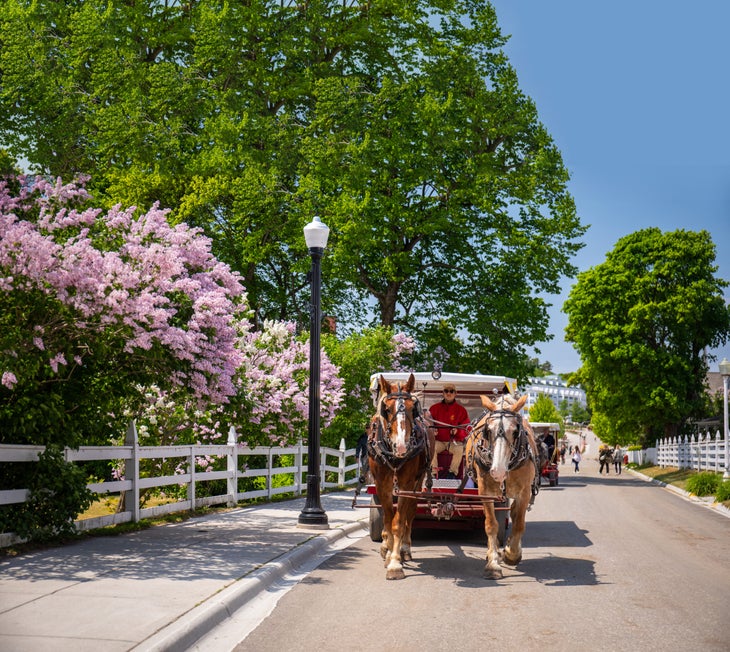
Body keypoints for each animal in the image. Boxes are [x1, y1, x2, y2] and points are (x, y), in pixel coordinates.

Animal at [366, 372, 430, 580]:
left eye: (412, 409)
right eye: (386, 409)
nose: (402, 446)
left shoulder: (406, 484)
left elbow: (399, 521)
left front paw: (395, 563)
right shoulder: (381, 484)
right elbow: (388, 518)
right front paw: (388, 551)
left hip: (418, 482)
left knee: (410, 512)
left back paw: (404, 548)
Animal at [464, 392, 536, 580]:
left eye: (516, 431)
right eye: (488, 431)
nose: (498, 471)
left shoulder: (524, 492)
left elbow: (519, 524)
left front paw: (511, 553)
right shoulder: (485, 491)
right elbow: (491, 524)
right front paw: (493, 563)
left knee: (515, 514)